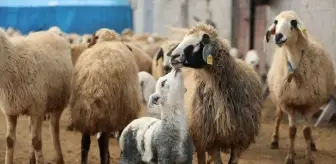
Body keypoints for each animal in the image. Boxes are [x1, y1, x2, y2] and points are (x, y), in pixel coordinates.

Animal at [0, 29, 71, 164]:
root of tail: (50, 32)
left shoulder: (36, 110)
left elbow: (37, 142)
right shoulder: (10, 110)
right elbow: (9, 141)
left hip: (56, 104)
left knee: (54, 130)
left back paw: (59, 158)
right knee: (31, 130)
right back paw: (31, 158)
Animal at [264, 10, 334, 164]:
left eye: (294, 22)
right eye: (276, 22)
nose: (278, 36)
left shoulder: (310, 104)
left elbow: (307, 132)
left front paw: (309, 157)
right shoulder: (288, 103)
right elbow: (292, 132)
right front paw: (290, 157)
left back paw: (312, 144)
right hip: (281, 100)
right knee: (278, 117)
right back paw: (274, 140)